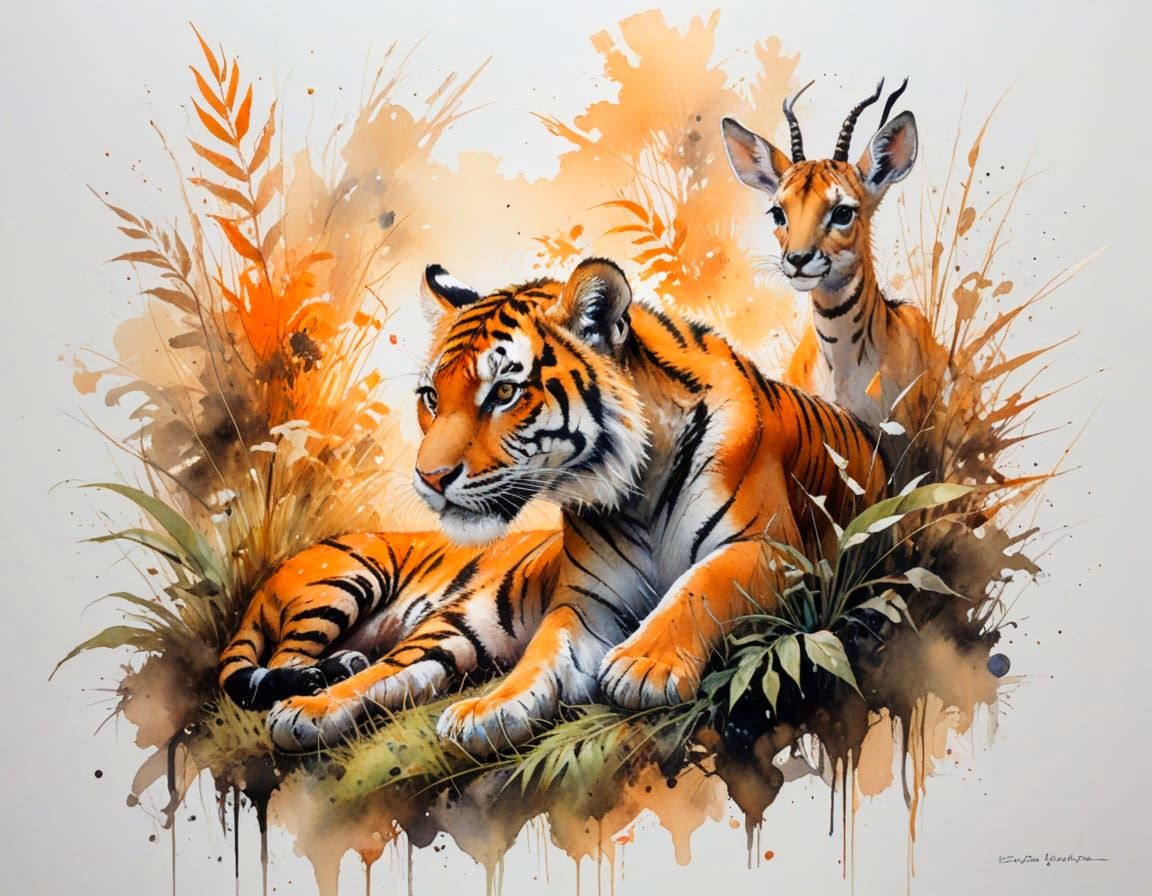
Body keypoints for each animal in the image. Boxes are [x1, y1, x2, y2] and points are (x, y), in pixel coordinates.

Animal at [218, 257, 888, 756]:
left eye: (504, 392)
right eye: (432, 397)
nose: (429, 478)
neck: (639, 487)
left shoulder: (770, 549)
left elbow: (699, 588)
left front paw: (643, 665)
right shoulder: (584, 602)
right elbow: (543, 652)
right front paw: (489, 709)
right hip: (363, 588)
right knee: (361, 667)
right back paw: (309, 700)